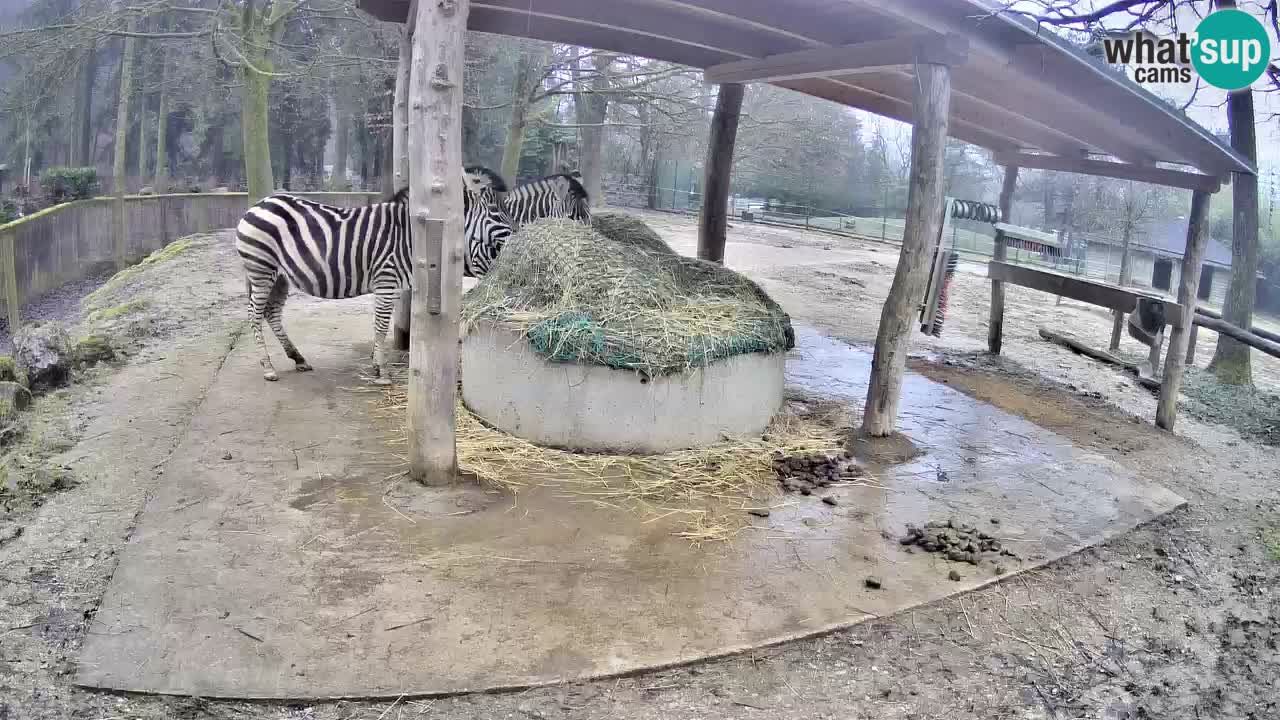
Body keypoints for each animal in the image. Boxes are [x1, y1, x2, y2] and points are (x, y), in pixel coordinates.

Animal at [233, 165, 514, 385]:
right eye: (496, 211)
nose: (516, 236)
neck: (409, 236)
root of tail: (258, 205)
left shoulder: (391, 285)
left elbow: (379, 325)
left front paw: (377, 364)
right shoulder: (386, 280)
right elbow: (380, 326)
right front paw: (382, 372)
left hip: (280, 276)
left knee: (271, 313)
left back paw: (298, 358)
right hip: (261, 269)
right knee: (254, 315)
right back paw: (268, 367)